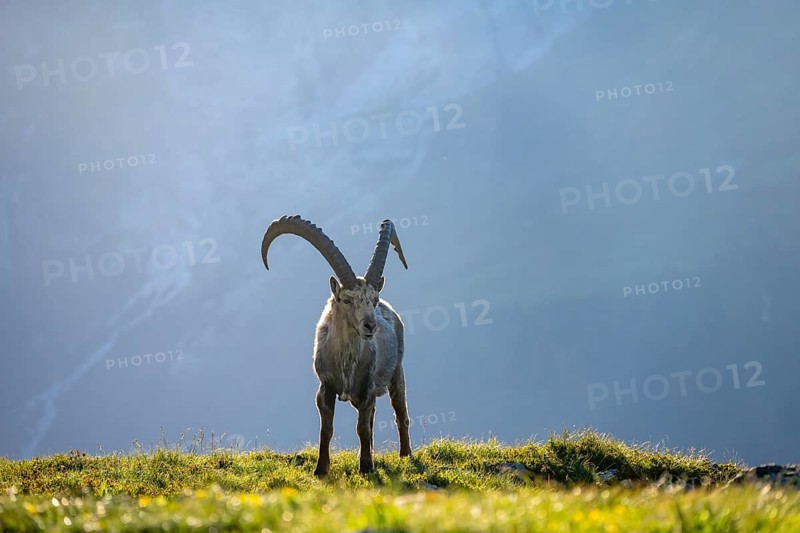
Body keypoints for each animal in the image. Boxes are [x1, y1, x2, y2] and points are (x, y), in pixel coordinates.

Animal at [261, 215, 412, 475]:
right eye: (347, 300)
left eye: (373, 300)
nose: (370, 326)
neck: (346, 362)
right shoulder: (325, 388)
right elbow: (327, 429)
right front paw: (321, 469)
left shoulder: (368, 387)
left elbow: (362, 428)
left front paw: (365, 467)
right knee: (373, 418)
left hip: (395, 372)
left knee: (399, 413)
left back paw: (405, 455)